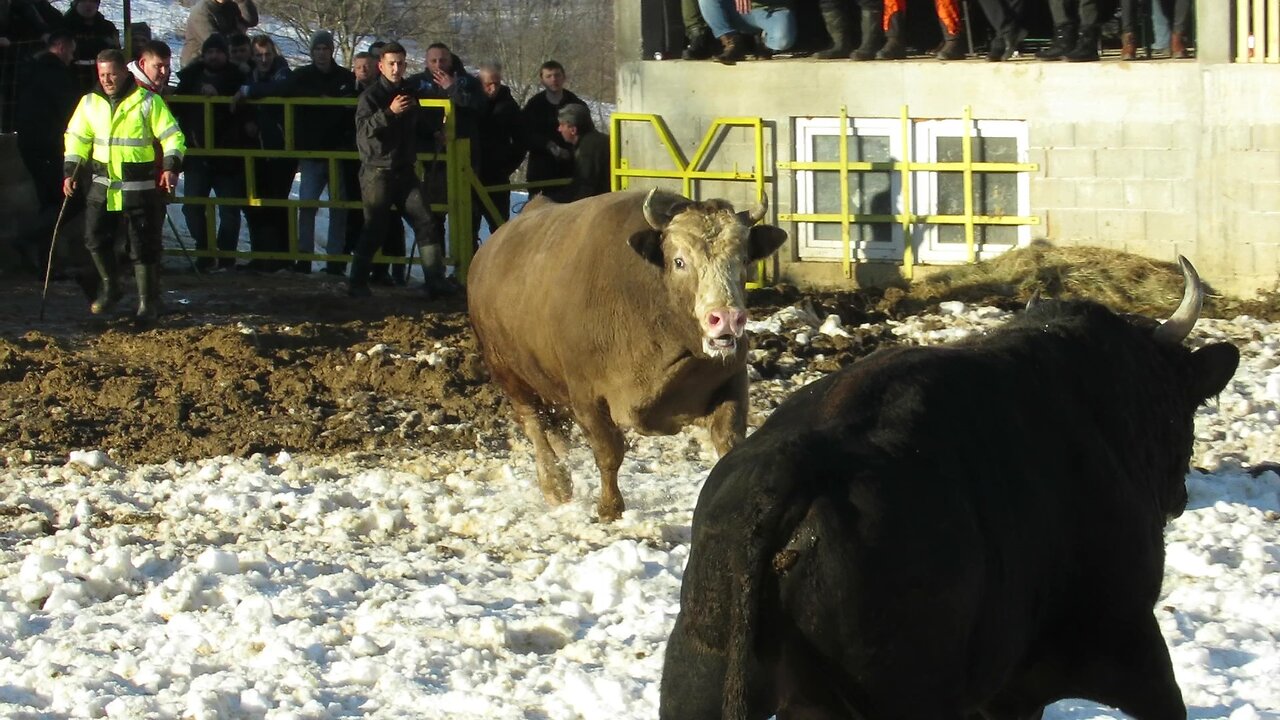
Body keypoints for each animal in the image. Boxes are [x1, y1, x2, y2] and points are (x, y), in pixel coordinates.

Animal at [471, 188, 788, 517]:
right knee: (534, 423)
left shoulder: (731, 381)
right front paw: (610, 507)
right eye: (679, 261)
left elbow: (729, 443)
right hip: (508, 372)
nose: (725, 317)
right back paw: (554, 483)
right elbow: (608, 453)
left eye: (743, 259)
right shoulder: (587, 397)